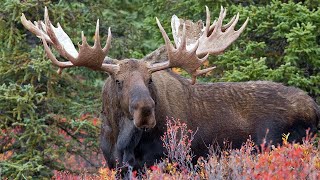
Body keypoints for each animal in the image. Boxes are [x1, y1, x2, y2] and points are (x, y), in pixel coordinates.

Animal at [21, 5, 318, 169]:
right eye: (118, 81)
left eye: (149, 79)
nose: (145, 110)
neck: (122, 142)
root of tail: (314, 106)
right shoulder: (115, 166)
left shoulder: (172, 160)